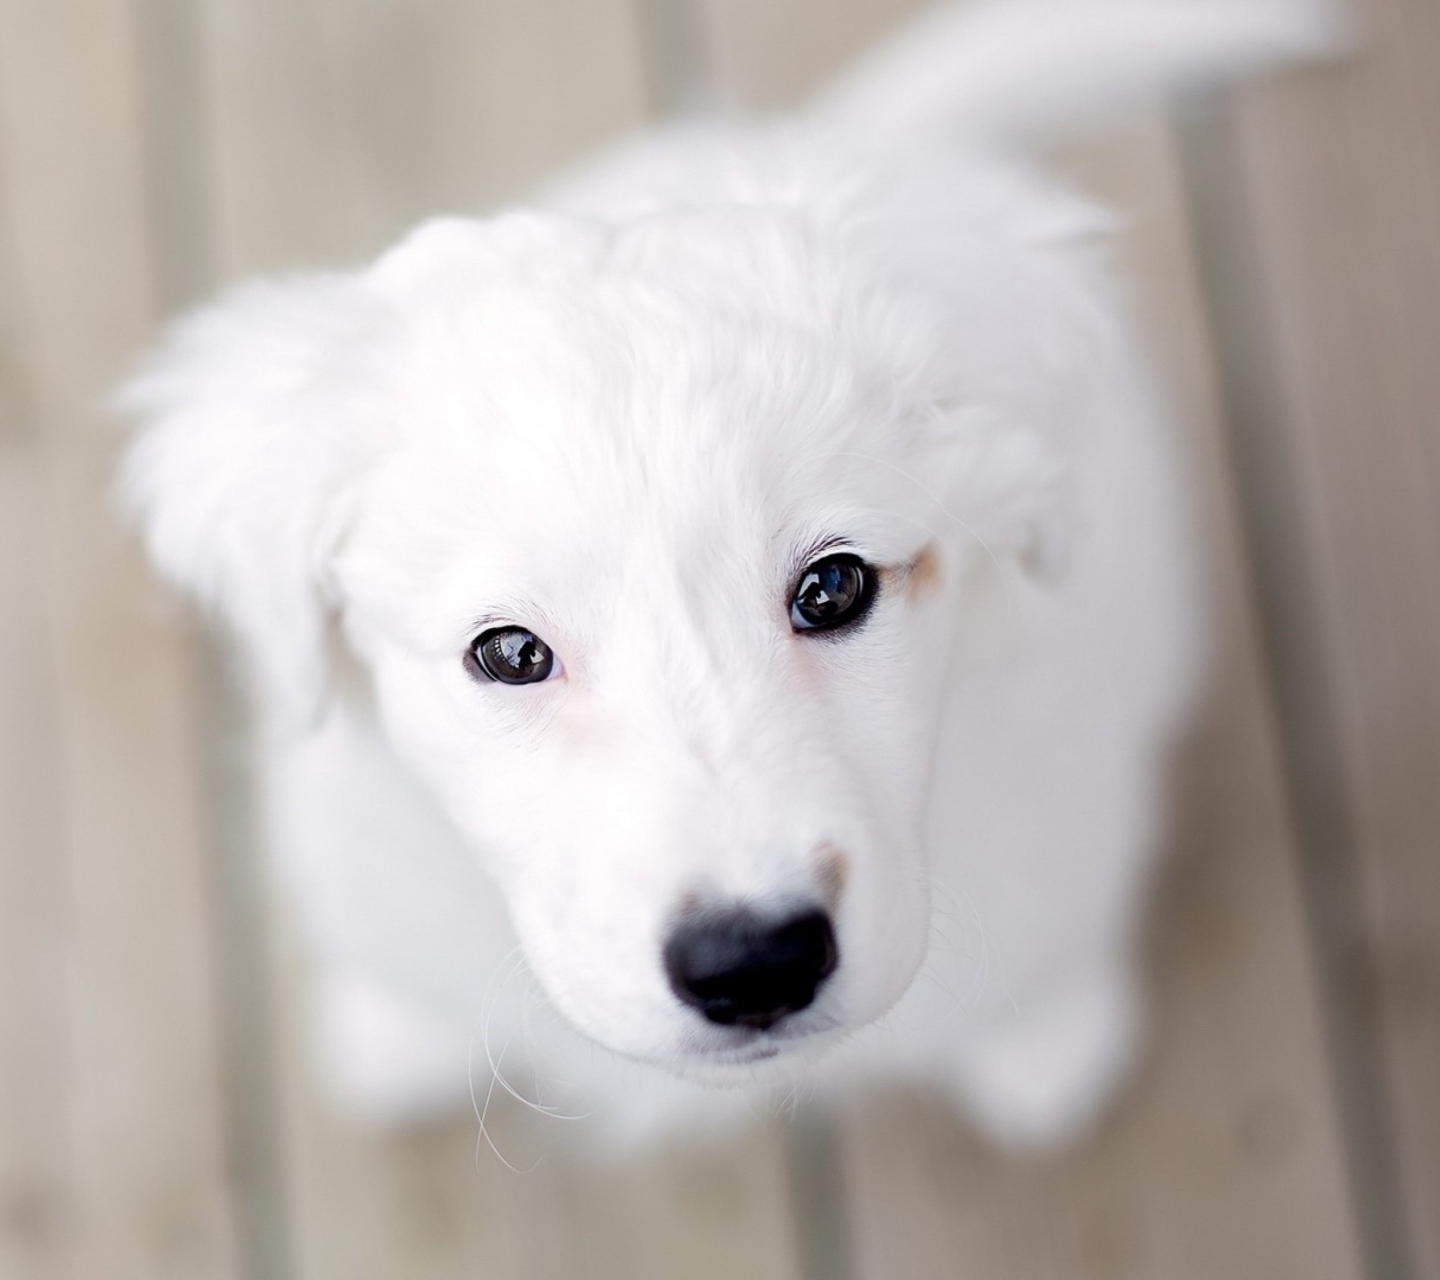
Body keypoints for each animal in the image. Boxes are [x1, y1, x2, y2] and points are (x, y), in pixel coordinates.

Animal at [120, 4, 1336, 1146]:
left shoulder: (1058, 785)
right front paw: (396, 1032)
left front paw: (1043, 1034)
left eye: (834, 588)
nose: (754, 962)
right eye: (508, 652)